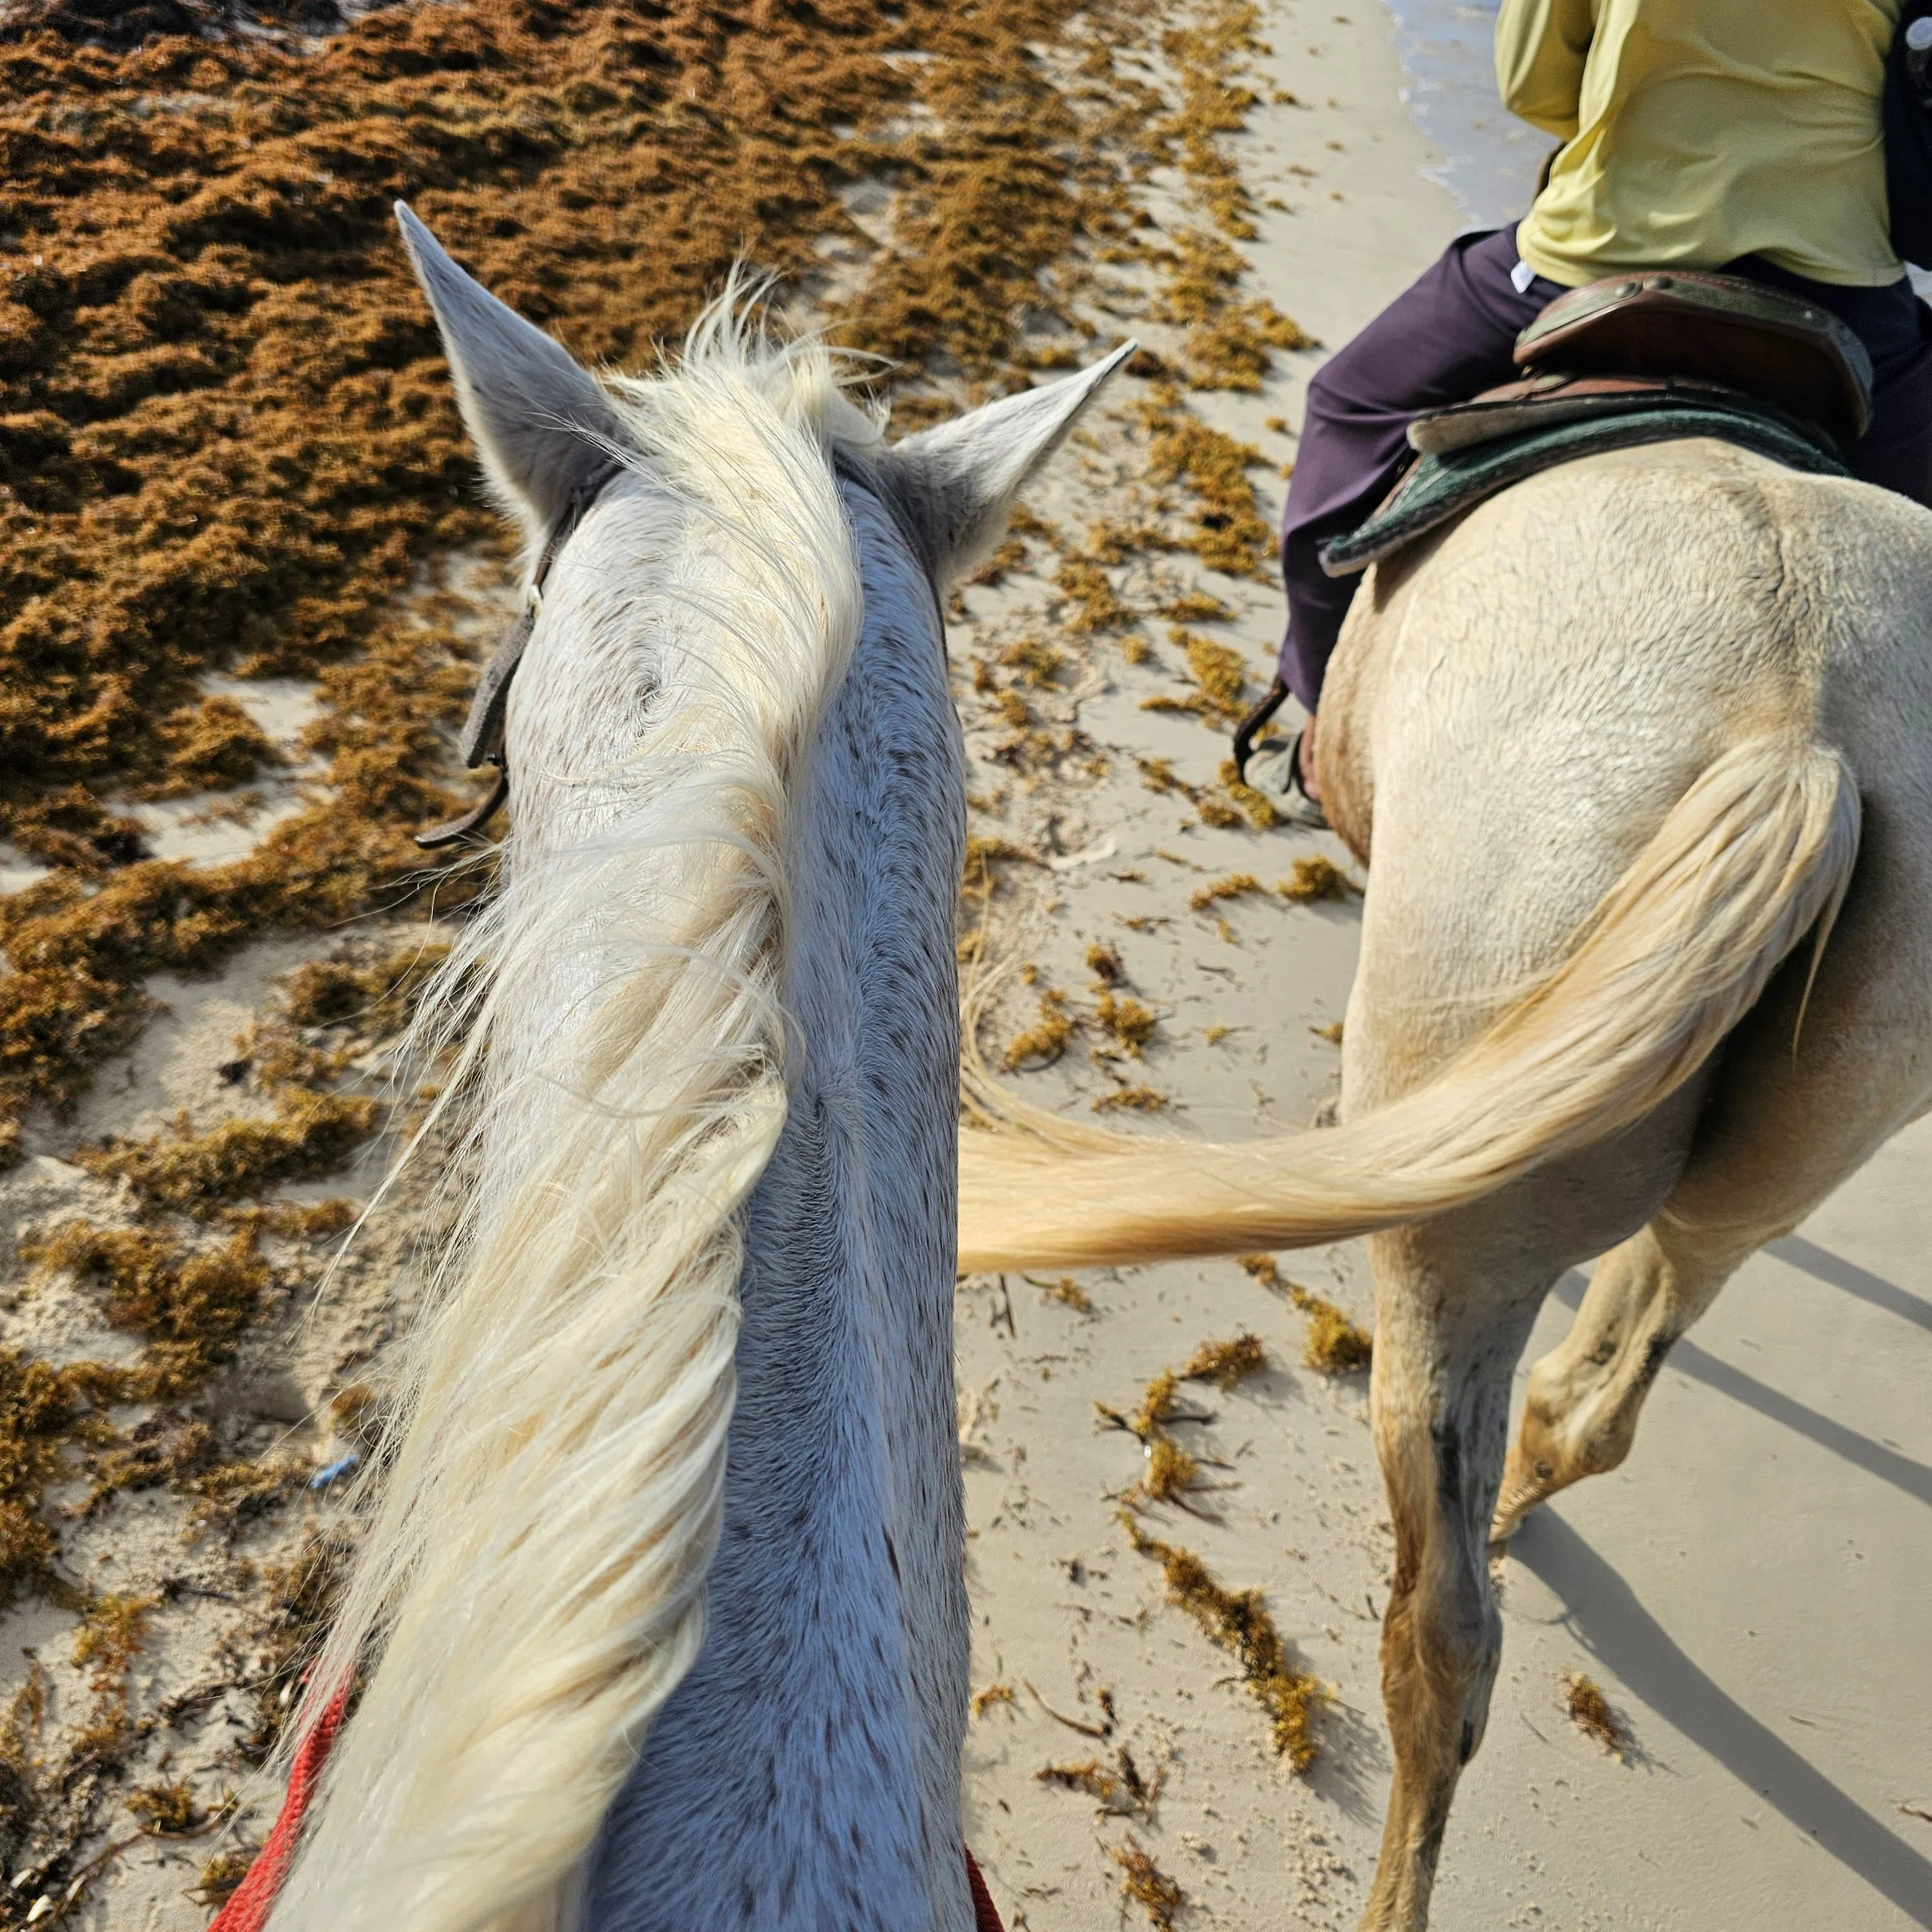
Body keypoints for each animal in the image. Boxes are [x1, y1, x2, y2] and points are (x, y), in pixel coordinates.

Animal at [957, 432, 1932, 1928]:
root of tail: (1800, 724)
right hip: (1793, 1150)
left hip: (1450, 1247)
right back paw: (1534, 1484)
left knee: (1443, 1642)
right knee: (1633, 1352)